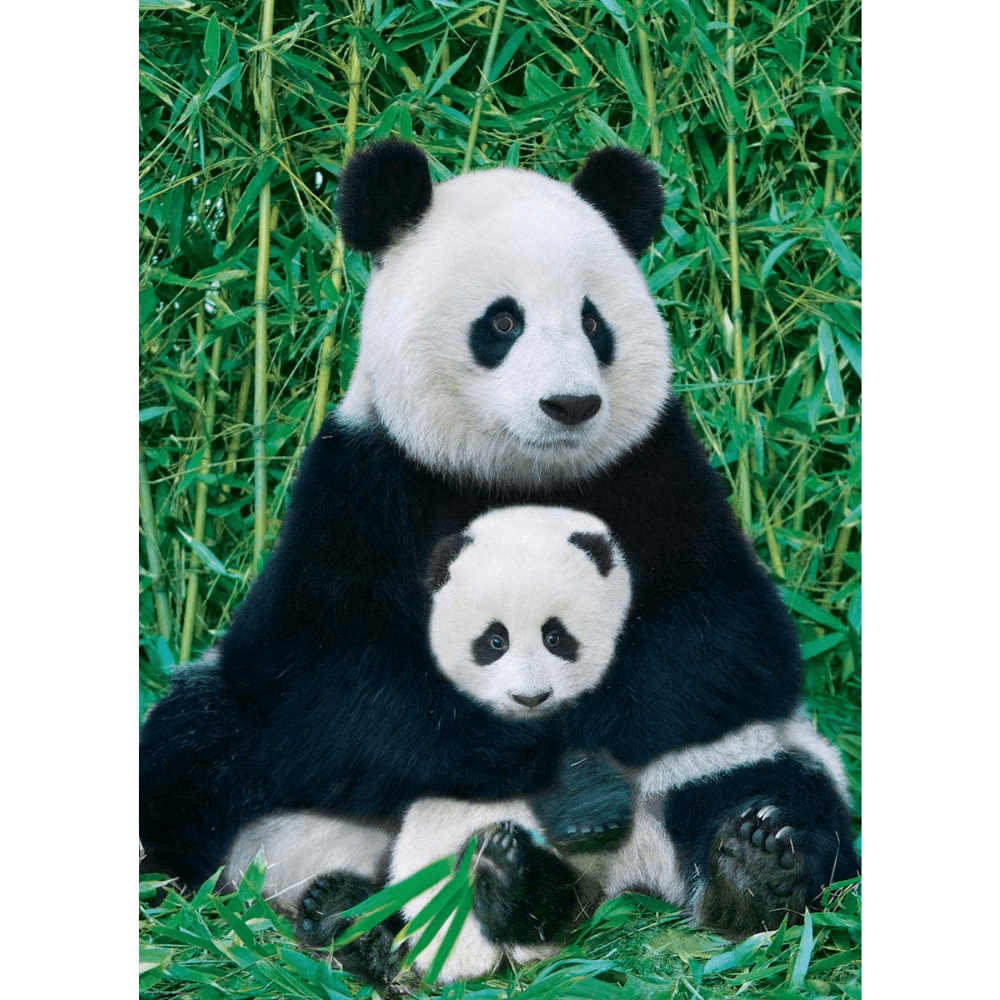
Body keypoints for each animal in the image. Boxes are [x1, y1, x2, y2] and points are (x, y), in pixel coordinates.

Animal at [139, 139, 858, 979]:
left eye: (592, 321)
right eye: (503, 321)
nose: (571, 405)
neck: (517, 475)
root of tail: (613, 880)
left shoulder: (659, 470)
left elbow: (724, 639)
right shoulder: (360, 486)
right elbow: (328, 675)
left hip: (738, 756)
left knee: (775, 784)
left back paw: (746, 870)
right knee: (194, 752)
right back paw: (358, 914)